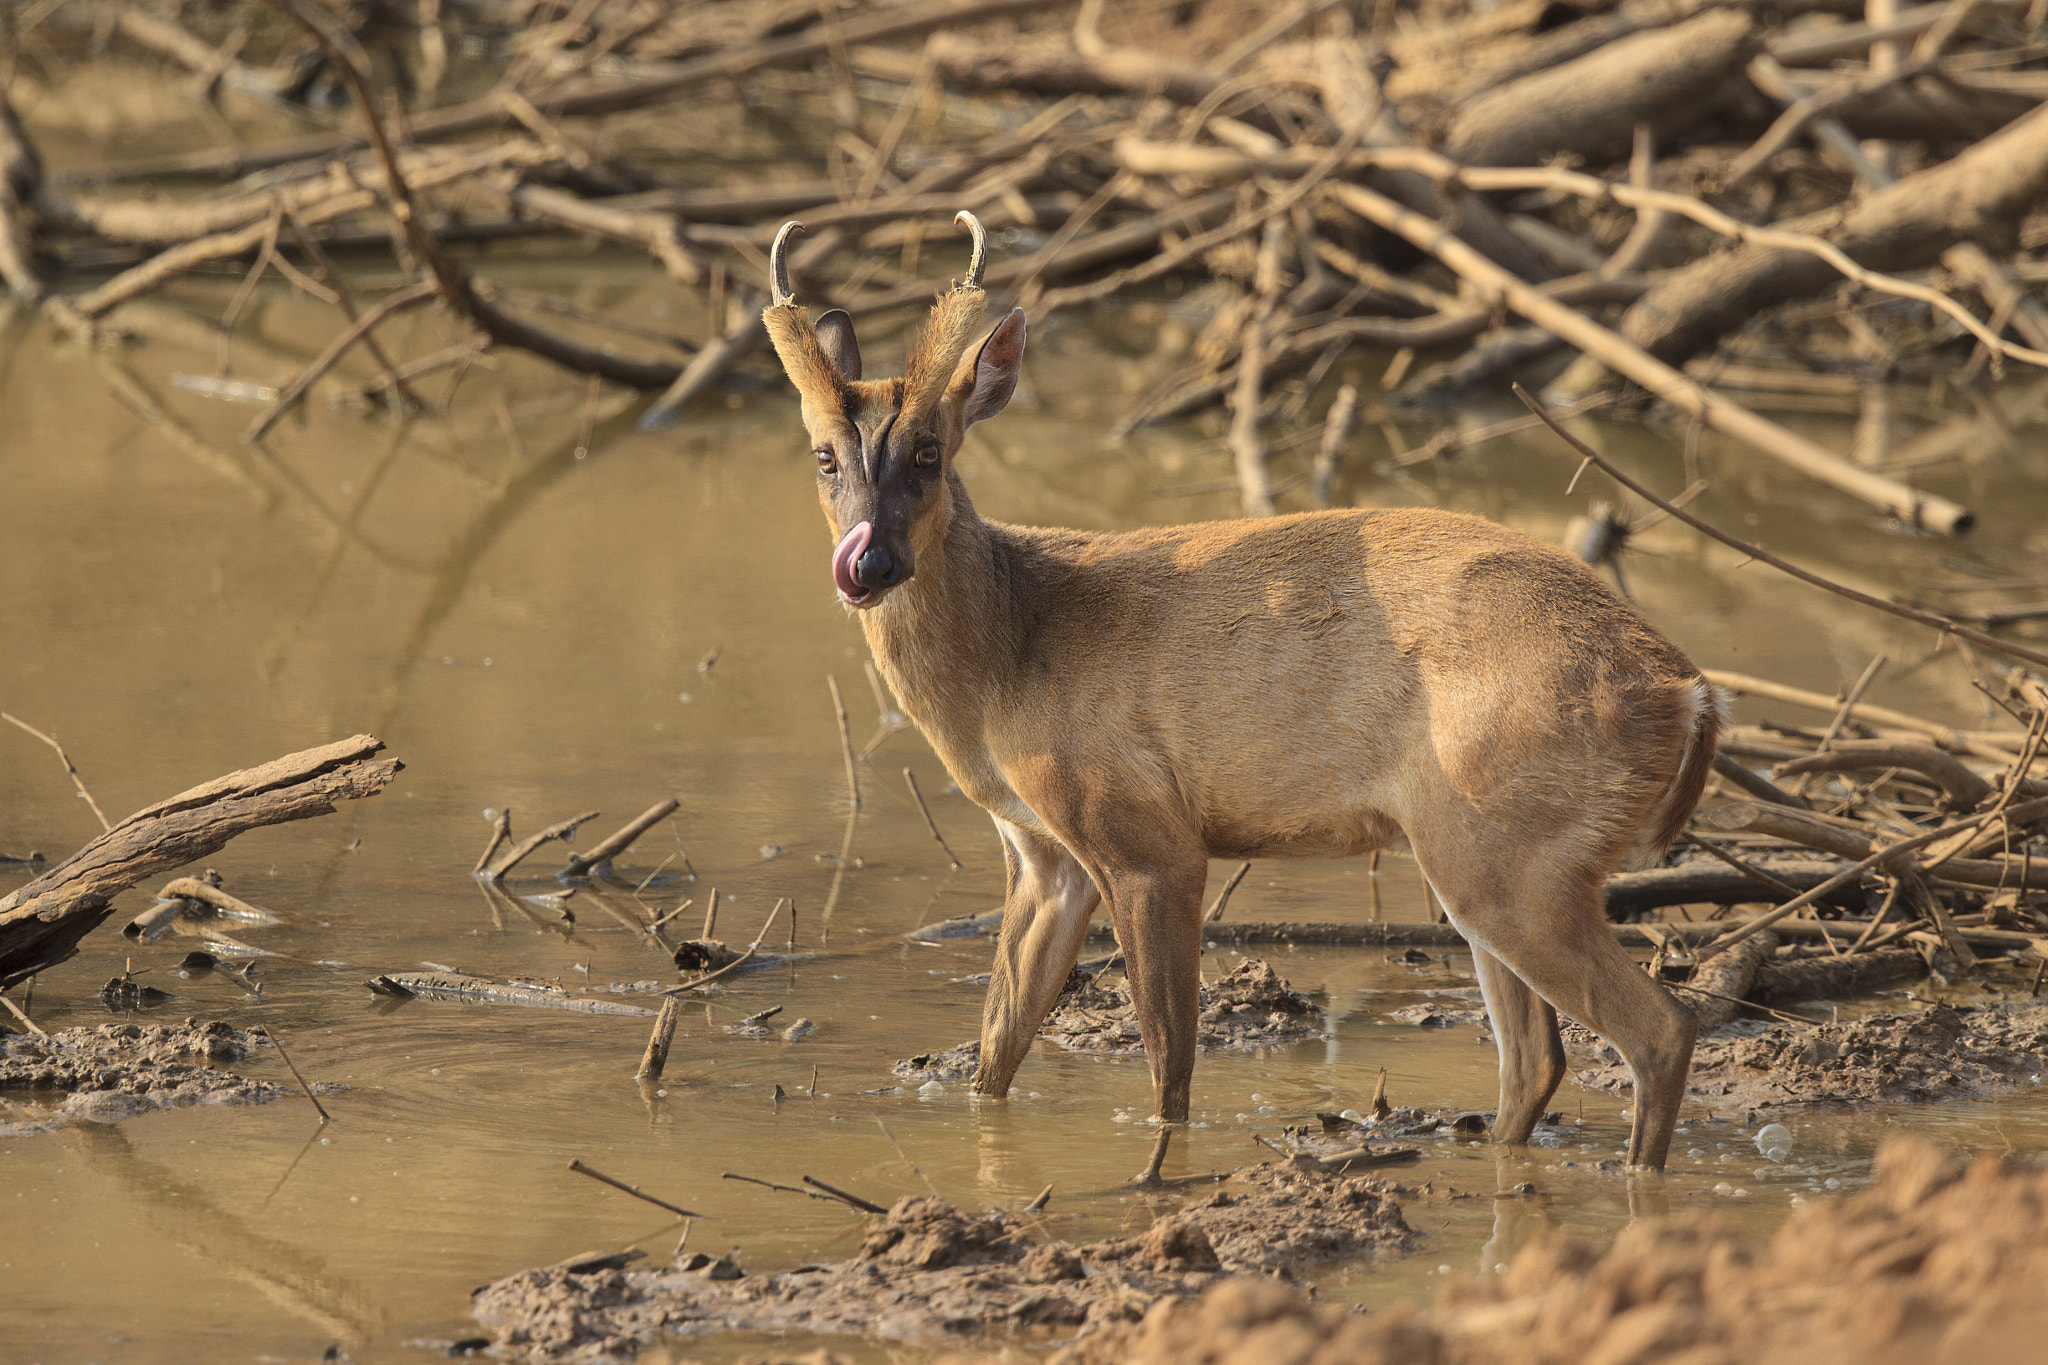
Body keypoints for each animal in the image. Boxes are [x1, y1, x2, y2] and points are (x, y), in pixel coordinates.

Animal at [761, 213, 1720, 1178]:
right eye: (823, 456)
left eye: (929, 451)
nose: (869, 563)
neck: (1010, 658)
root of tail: (1689, 689)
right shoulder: (1043, 852)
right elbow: (997, 1048)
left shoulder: (1147, 838)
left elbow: (1169, 1065)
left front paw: (1157, 1169)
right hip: (1489, 858)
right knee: (1535, 1059)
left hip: (1511, 849)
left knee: (1661, 1028)